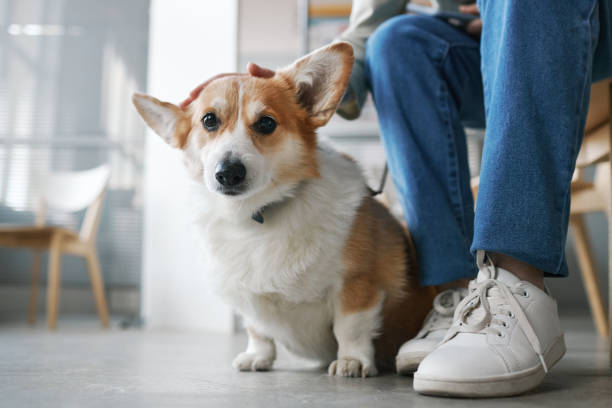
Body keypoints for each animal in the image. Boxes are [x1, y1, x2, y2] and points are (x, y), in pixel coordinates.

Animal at [132, 43, 432, 378]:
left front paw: (352, 360)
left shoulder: (356, 284)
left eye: (266, 123)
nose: (228, 173)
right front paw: (257, 356)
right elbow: (257, 329)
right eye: (209, 120)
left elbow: (349, 327)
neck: (255, 215)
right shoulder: (247, 297)